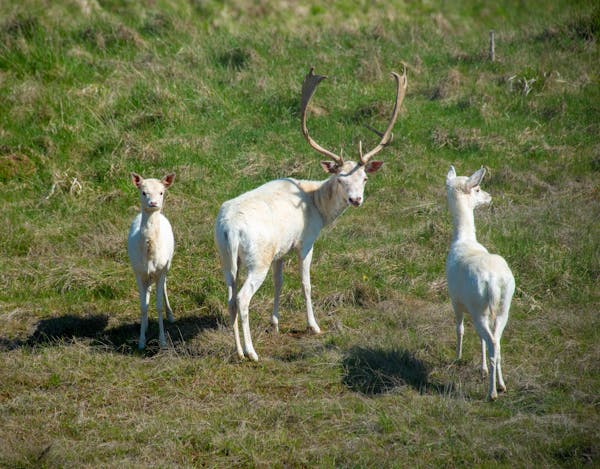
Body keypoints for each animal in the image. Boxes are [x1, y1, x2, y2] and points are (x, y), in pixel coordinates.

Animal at [126, 171, 175, 348]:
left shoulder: (161, 269)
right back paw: (146, 324)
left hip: (168, 263)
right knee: (147, 290)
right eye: (143, 192)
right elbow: (143, 306)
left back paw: (171, 315)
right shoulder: (138, 272)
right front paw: (141, 342)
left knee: (164, 284)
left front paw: (163, 342)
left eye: (161, 192)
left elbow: (158, 305)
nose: (153, 203)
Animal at [216, 66, 408, 360]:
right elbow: (306, 283)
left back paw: (238, 351)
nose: (356, 199)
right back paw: (252, 352)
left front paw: (275, 323)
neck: (317, 205)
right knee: (242, 298)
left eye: (364, 178)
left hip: (227, 257)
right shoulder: (305, 241)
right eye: (340, 179)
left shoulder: (280, 251)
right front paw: (314, 325)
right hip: (257, 258)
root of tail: (230, 228)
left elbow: (279, 282)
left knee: (229, 297)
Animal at [446, 165, 516, 398]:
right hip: (503, 306)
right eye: (477, 189)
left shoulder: (454, 299)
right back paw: (501, 385)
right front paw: (482, 369)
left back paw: (492, 393)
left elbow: (459, 328)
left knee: (492, 342)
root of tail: (494, 281)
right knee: (497, 342)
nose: (489, 196)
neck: (464, 240)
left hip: (478, 308)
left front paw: (457, 356)